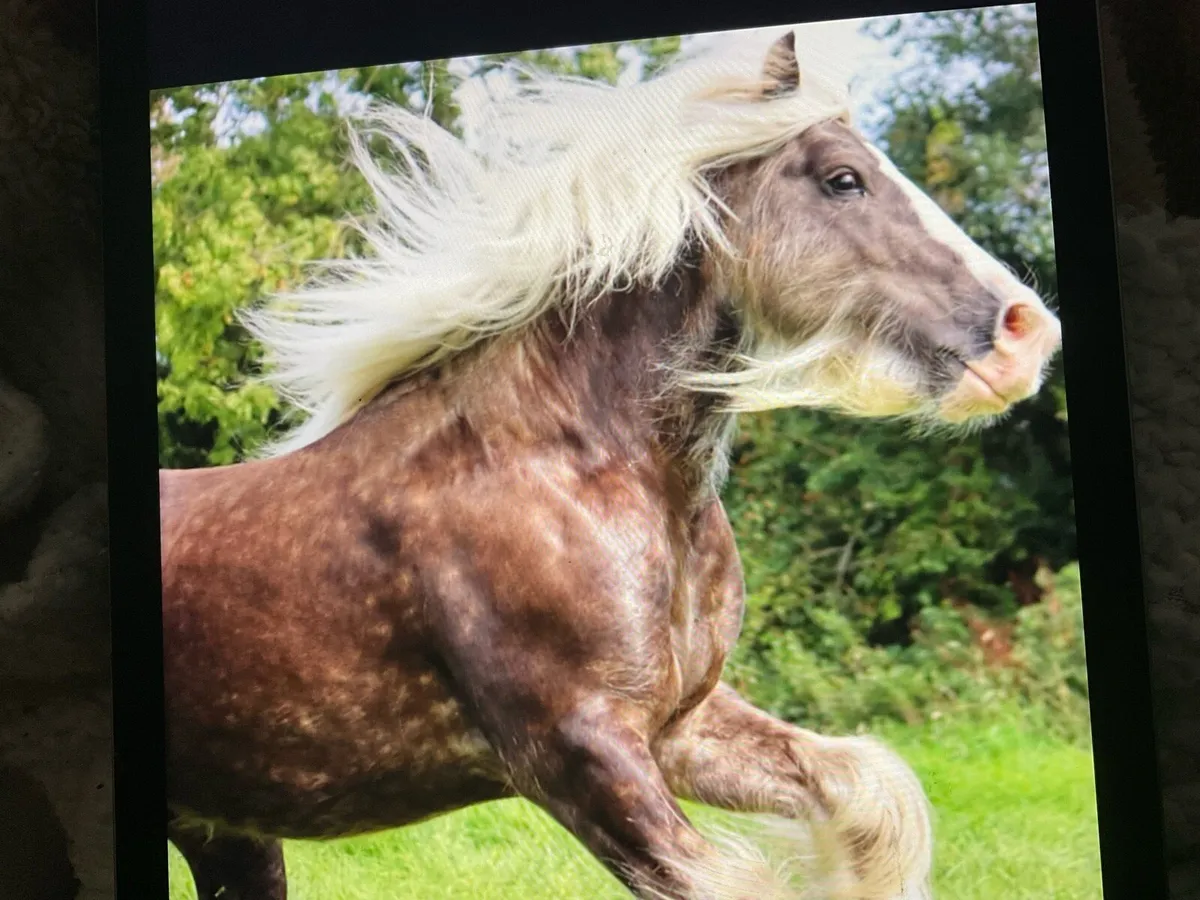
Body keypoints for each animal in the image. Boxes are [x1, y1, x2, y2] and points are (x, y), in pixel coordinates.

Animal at [160, 31, 1062, 900]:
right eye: (844, 180)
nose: (1024, 333)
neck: (579, 473)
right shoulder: (579, 755)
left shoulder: (681, 728)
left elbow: (866, 788)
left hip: (226, 834)